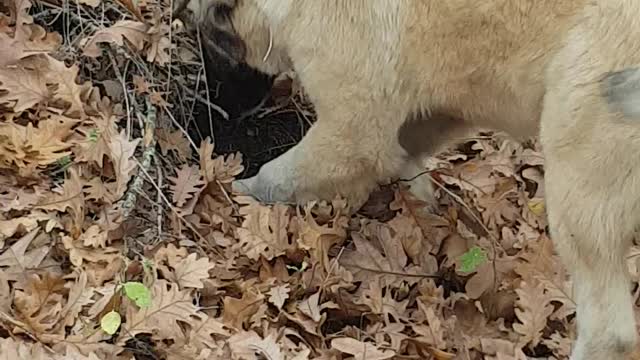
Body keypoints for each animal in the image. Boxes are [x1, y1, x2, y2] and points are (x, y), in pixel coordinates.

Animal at [176, 1, 640, 358]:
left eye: (213, 45)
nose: (222, 111)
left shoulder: (351, 125)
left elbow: (284, 174)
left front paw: (240, 193)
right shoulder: (440, 107)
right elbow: (404, 150)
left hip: (577, 182)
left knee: (611, 332)